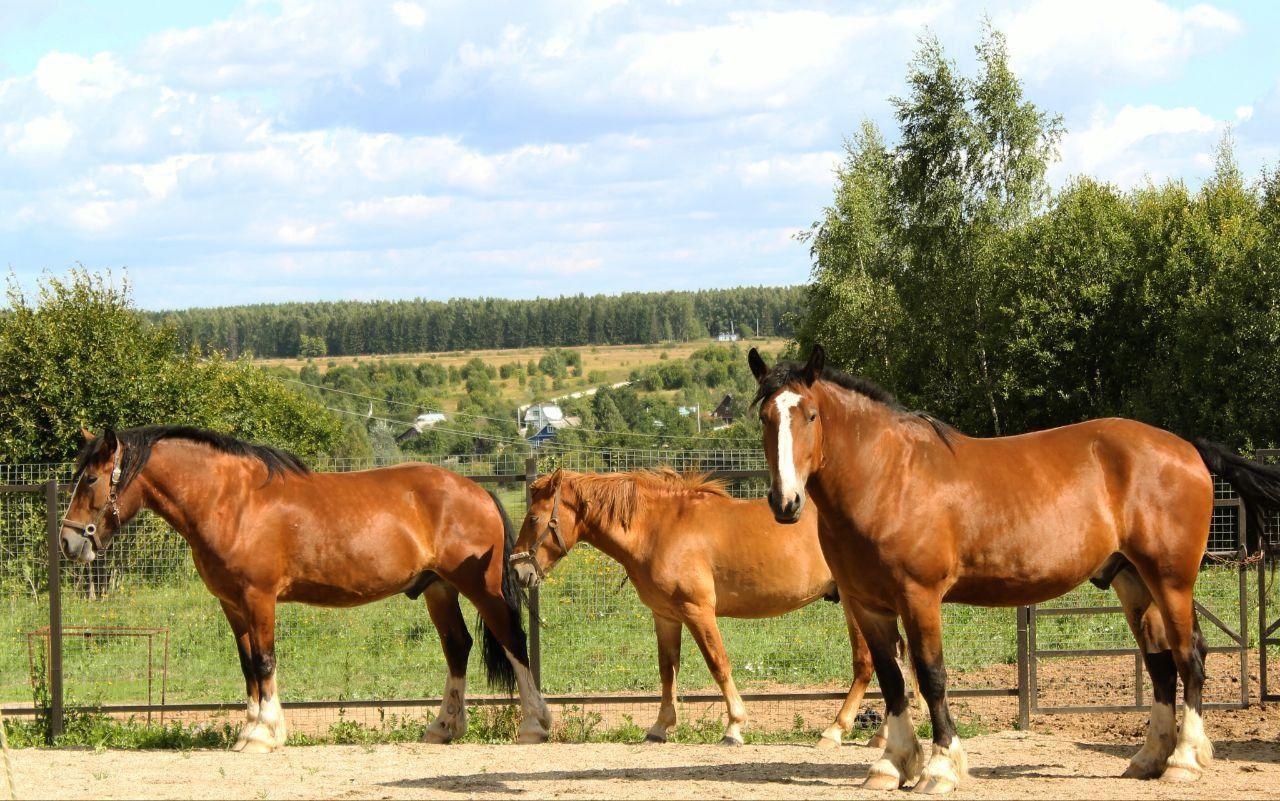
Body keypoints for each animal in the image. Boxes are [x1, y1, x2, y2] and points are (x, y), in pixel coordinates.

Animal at [504, 465, 916, 747]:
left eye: (533, 517)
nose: (519, 570)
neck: (657, 528)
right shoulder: (665, 616)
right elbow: (667, 670)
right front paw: (660, 727)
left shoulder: (697, 611)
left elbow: (718, 664)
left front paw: (734, 726)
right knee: (894, 661)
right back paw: (882, 737)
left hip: (854, 604)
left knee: (867, 665)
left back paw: (836, 730)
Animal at [747, 345, 1280, 793]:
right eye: (765, 417)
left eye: (810, 415)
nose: (785, 502)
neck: (889, 477)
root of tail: (1187, 448)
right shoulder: (868, 605)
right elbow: (892, 679)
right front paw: (891, 764)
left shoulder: (919, 597)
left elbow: (931, 676)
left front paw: (941, 768)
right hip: (1133, 583)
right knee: (1162, 665)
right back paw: (1149, 758)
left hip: (1171, 581)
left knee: (1191, 657)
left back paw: (1183, 760)